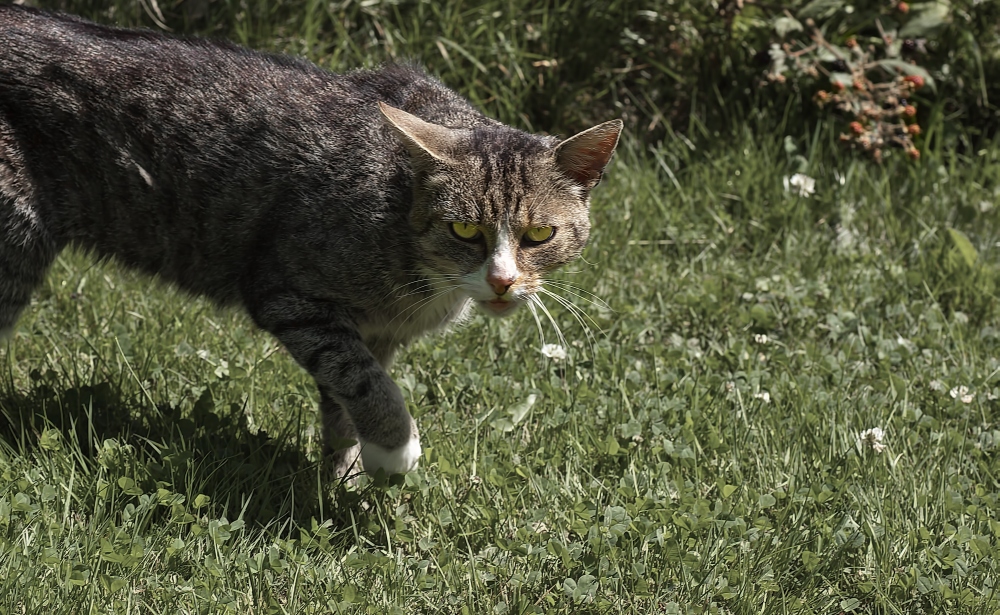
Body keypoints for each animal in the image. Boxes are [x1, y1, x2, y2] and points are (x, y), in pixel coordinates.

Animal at [0, 3, 620, 476]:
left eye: (539, 234)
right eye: (464, 228)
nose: (503, 280)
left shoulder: (376, 332)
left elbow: (346, 393)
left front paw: (349, 472)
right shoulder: (289, 293)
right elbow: (363, 379)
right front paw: (395, 449)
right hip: (14, 239)